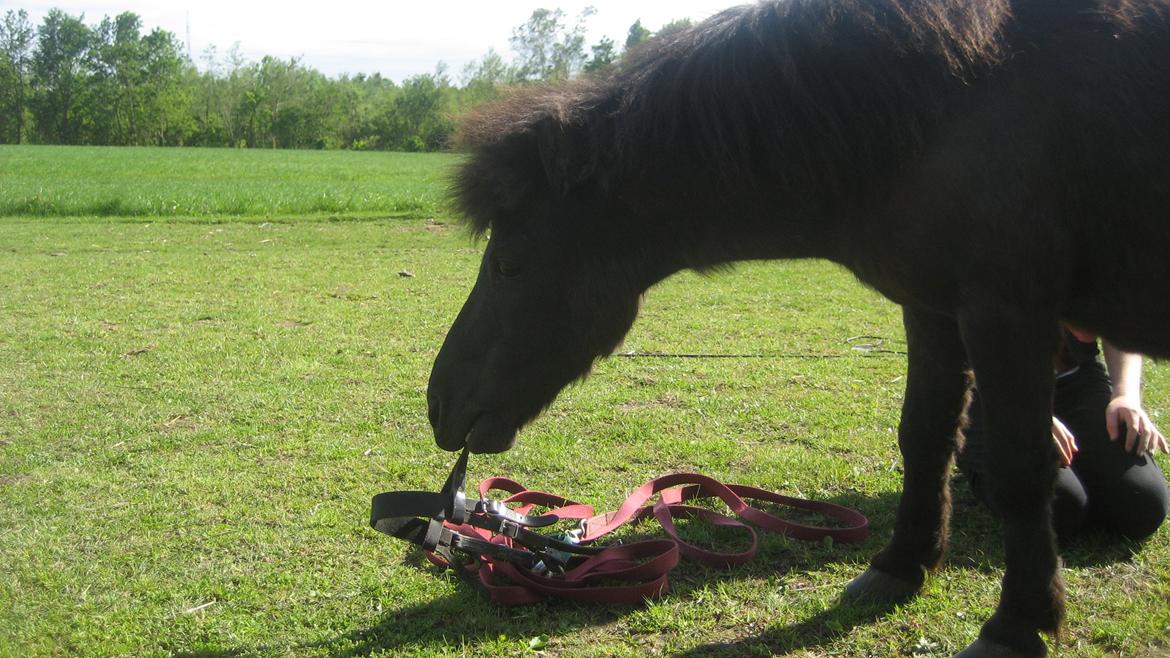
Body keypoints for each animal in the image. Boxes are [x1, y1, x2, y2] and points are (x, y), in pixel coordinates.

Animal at [428, 2, 1170, 650]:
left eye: (508, 264)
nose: (439, 404)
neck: (949, 104)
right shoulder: (935, 308)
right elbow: (925, 438)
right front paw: (899, 568)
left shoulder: (1006, 312)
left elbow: (1022, 471)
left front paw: (1018, 626)